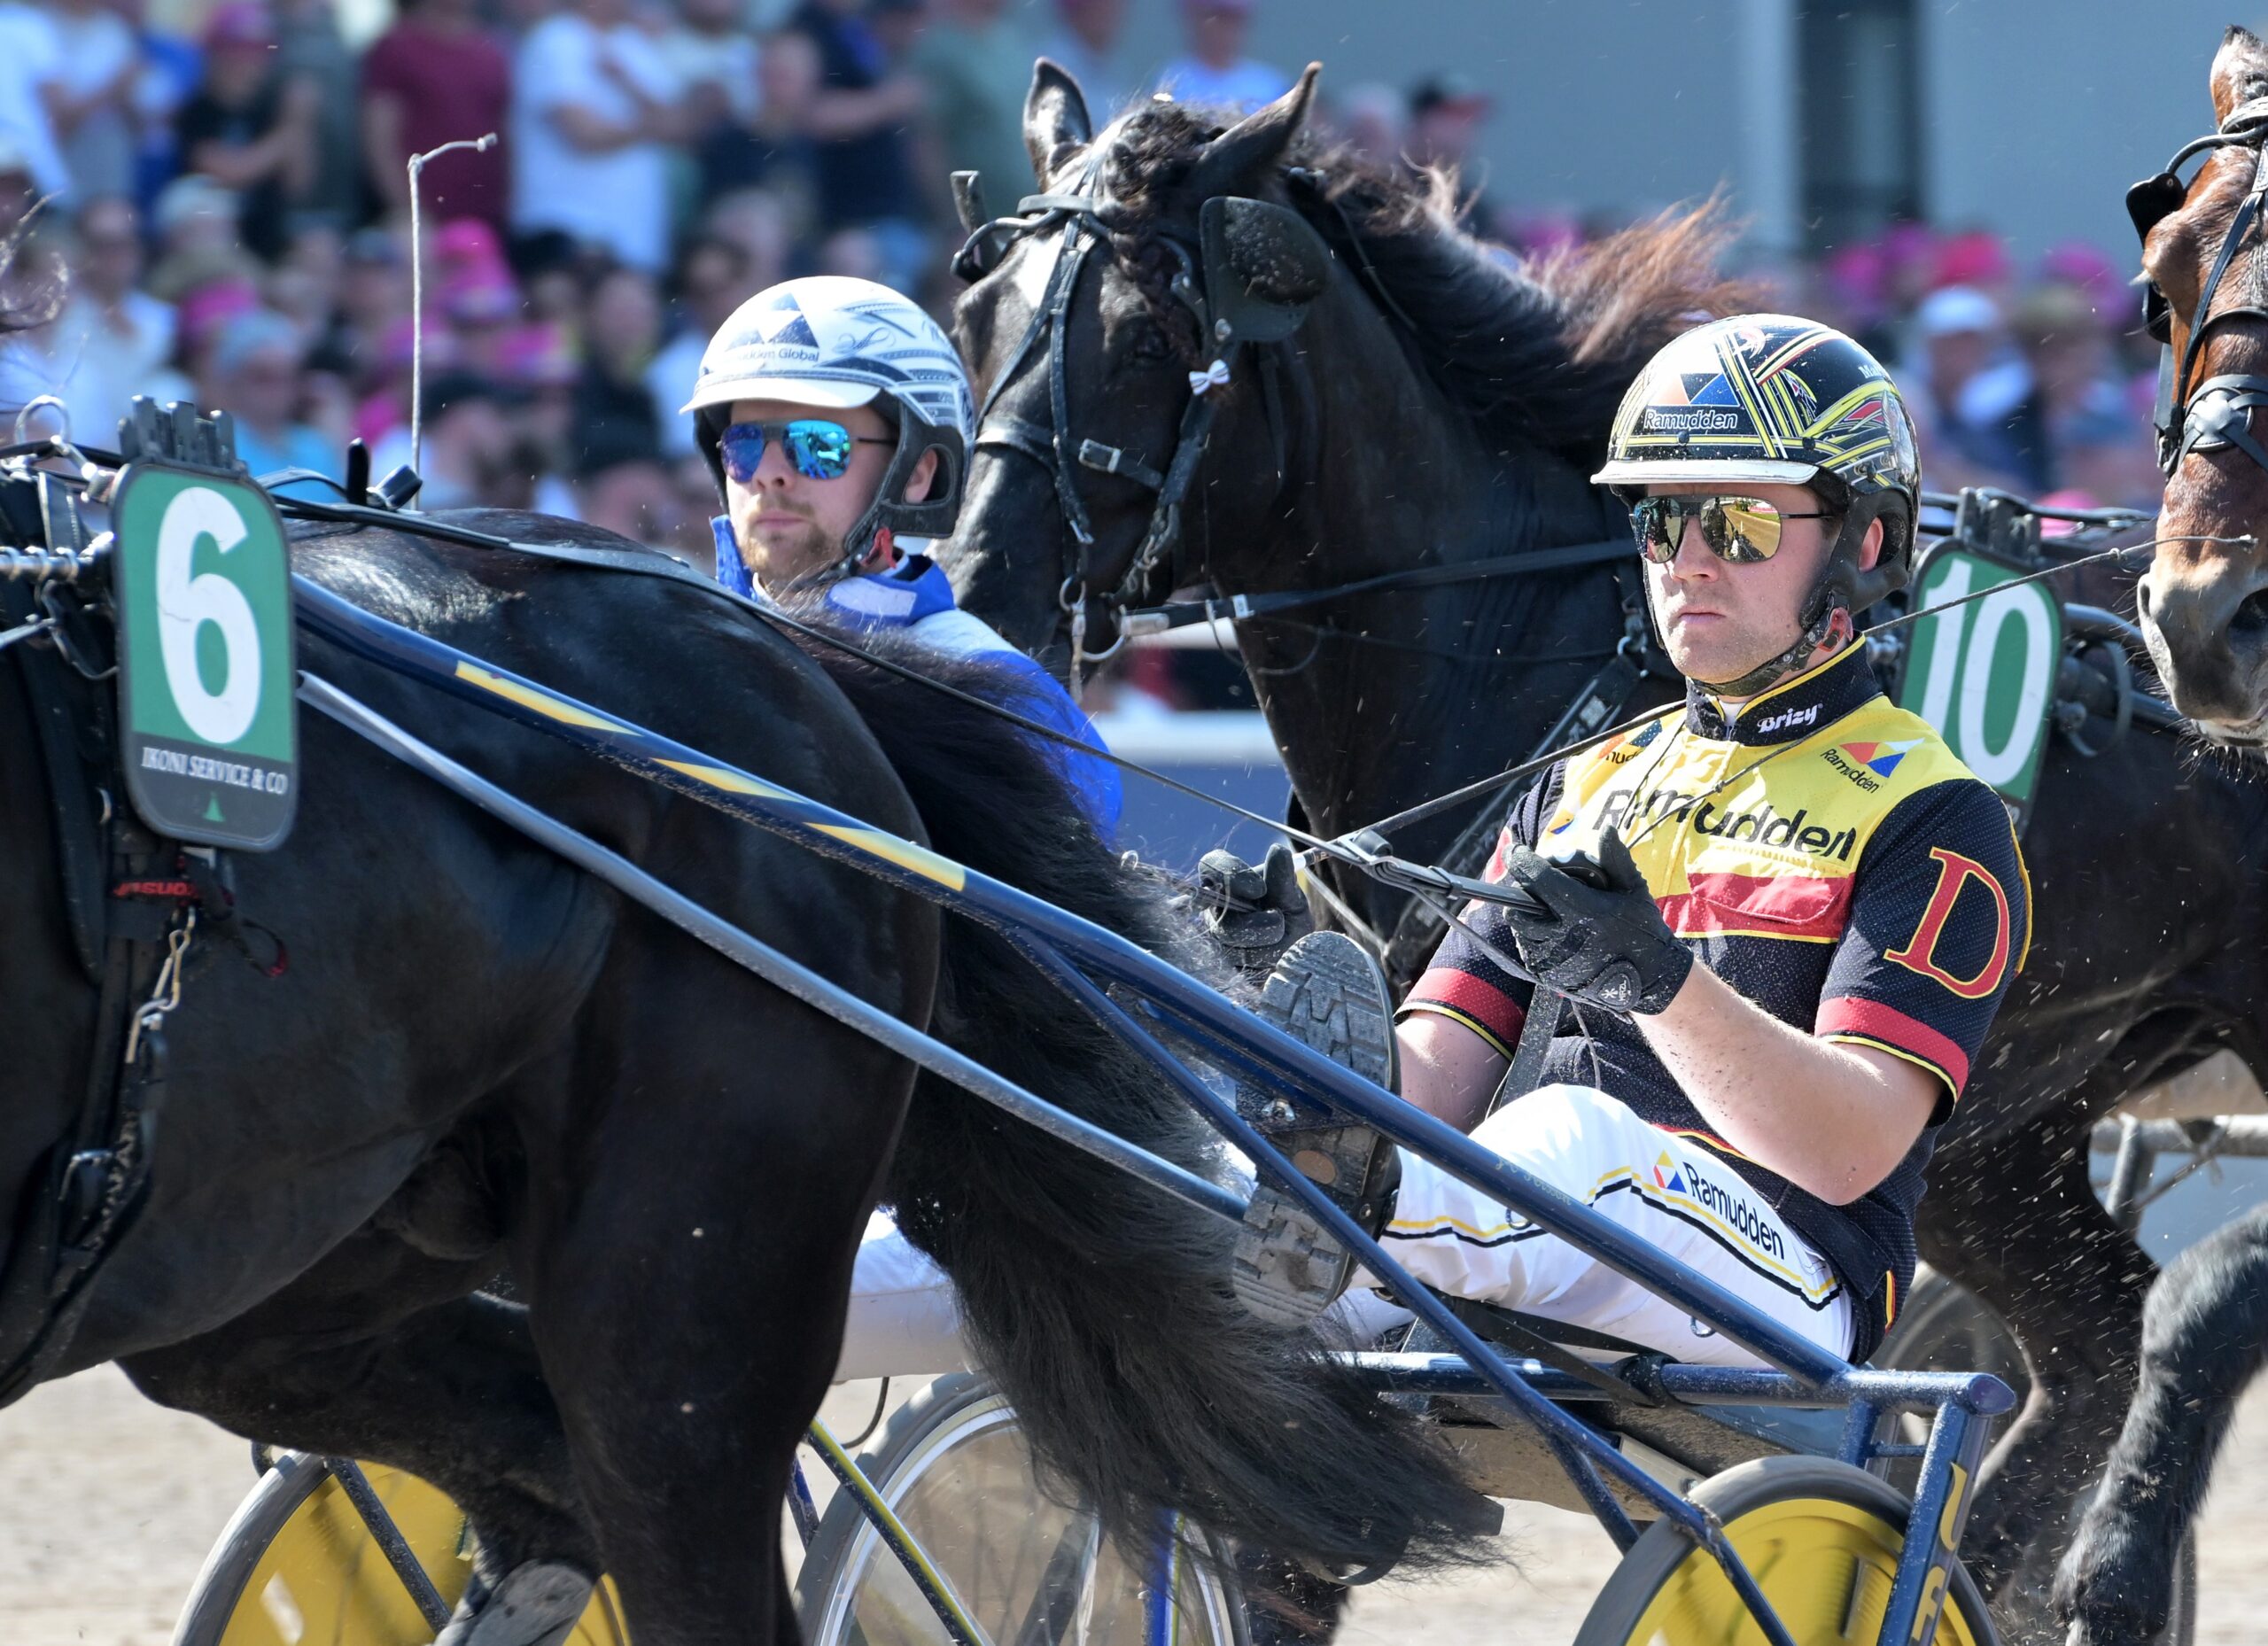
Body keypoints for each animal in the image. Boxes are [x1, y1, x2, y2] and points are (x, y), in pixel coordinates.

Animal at [938, 58, 2268, 1632]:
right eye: (976, 309)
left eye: (1150, 332)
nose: (977, 586)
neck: (1536, 631)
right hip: (2015, 1134)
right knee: (2098, 1324)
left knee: (2181, 1301)